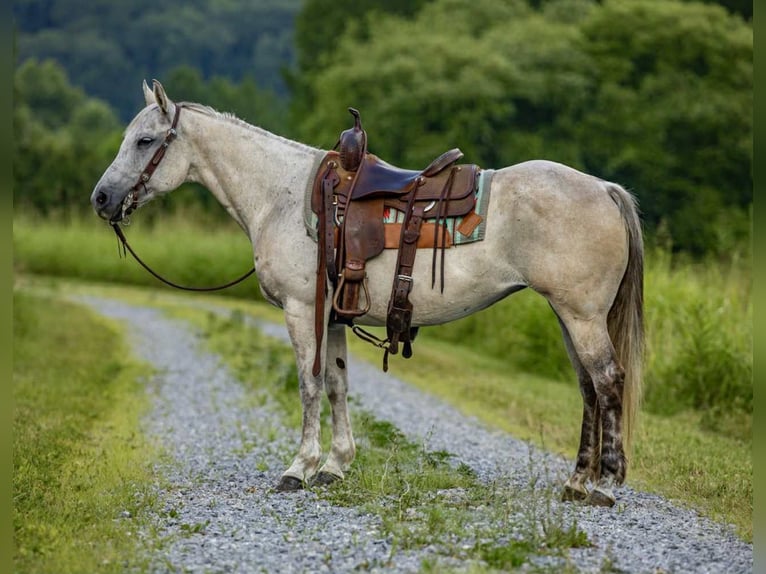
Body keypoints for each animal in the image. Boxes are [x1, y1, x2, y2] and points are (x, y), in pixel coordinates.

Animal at [91, 80, 644, 507]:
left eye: (144, 140)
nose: (102, 198)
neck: (281, 197)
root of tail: (604, 189)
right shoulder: (332, 314)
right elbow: (337, 385)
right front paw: (336, 466)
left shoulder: (303, 311)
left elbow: (309, 385)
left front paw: (299, 468)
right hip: (567, 315)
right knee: (588, 388)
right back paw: (577, 482)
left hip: (582, 316)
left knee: (608, 381)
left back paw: (606, 486)